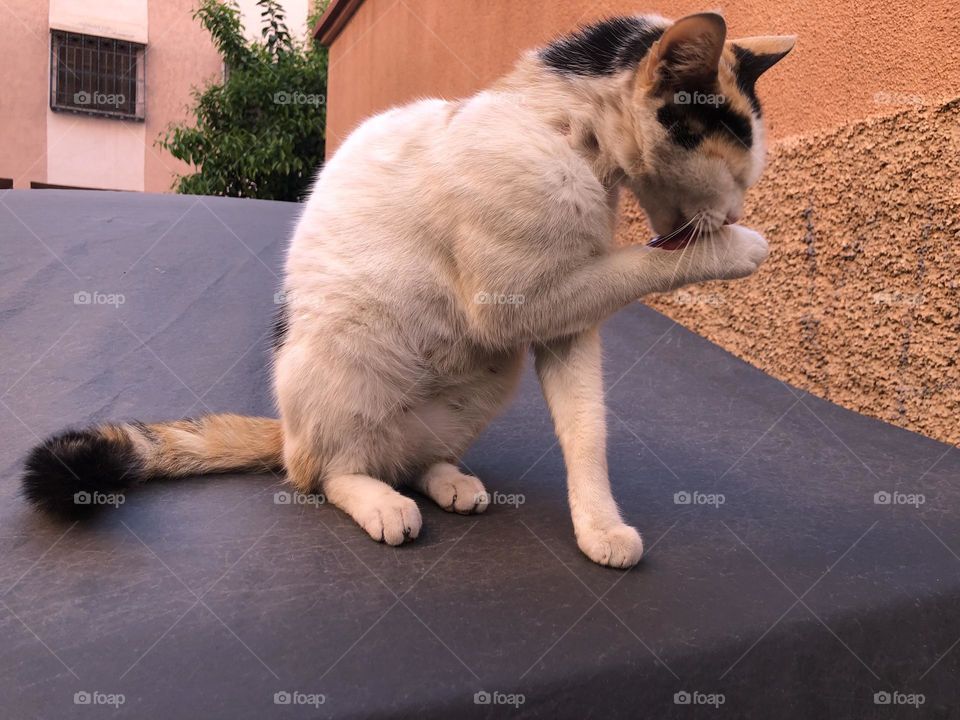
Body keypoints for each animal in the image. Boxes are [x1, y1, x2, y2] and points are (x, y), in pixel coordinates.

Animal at [24, 8, 796, 564]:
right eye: (735, 174)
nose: (735, 215)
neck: (568, 136)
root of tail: (289, 429)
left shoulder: (565, 329)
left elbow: (587, 431)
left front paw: (599, 526)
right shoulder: (516, 306)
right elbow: (641, 263)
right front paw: (741, 250)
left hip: (481, 382)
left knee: (408, 460)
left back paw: (447, 481)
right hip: (346, 361)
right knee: (323, 472)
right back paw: (381, 503)